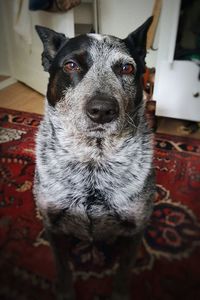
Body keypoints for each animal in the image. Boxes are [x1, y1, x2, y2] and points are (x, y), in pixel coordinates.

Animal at [34, 17, 155, 300]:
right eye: (71, 65)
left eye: (126, 68)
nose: (102, 110)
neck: (93, 163)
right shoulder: (53, 225)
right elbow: (62, 266)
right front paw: (65, 291)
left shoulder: (135, 230)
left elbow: (123, 272)